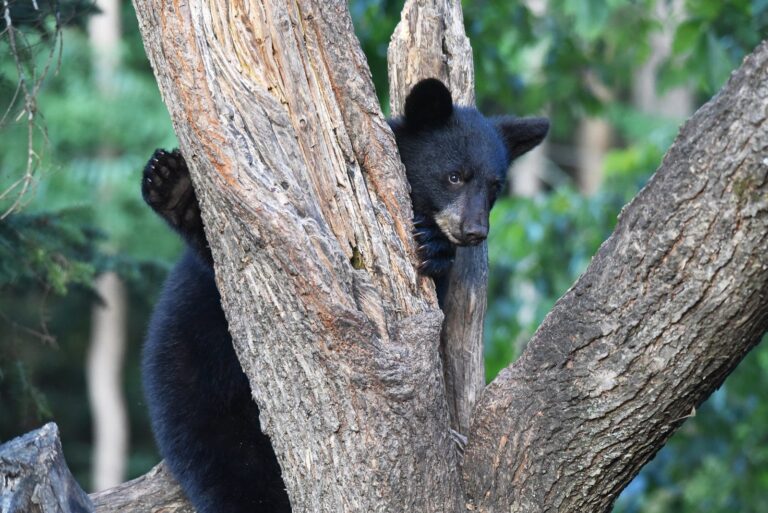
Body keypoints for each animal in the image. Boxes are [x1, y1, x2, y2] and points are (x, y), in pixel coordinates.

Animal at [141, 78, 548, 513]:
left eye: (495, 187)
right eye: (455, 176)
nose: (474, 231)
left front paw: (436, 246)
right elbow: (227, 254)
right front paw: (174, 188)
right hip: (197, 392)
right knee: (232, 471)